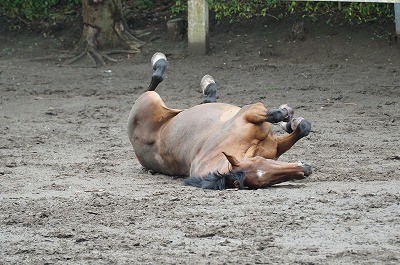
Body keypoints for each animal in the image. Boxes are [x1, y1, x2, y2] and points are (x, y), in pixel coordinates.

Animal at [126, 52, 310, 188]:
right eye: (264, 181)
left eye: (262, 160)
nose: (306, 169)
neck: (248, 145)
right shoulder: (251, 110)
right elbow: (279, 116)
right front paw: (287, 114)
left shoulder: (268, 137)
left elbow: (302, 128)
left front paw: (290, 120)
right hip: (150, 98)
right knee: (154, 81)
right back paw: (161, 62)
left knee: (201, 99)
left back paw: (207, 86)